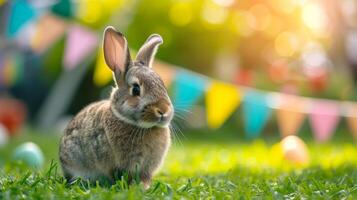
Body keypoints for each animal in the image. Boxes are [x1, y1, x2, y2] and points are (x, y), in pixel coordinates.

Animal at [59, 26, 173, 189]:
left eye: (162, 85)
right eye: (136, 89)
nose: (163, 110)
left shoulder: (146, 169)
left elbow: (144, 178)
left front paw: (143, 187)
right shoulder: (116, 164)